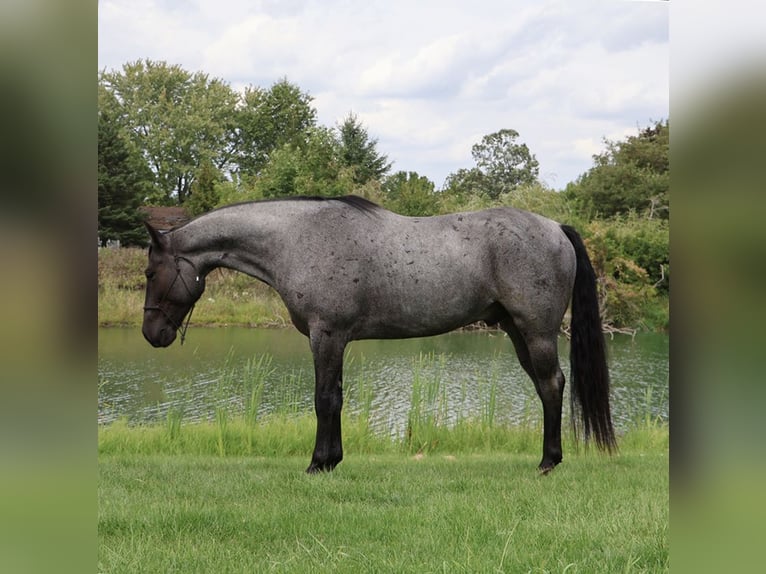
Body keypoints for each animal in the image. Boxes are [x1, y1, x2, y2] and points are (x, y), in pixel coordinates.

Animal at [142, 195, 616, 473]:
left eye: (149, 272)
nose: (151, 333)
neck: (298, 239)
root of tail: (555, 227)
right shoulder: (333, 340)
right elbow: (336, 397)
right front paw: (333, 460)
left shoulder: (326, 335)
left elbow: (325, 399)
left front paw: (318, 464)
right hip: (517, 332)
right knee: (544, 387)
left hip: (536, 332)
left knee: (552, 385)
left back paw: (548, 462)